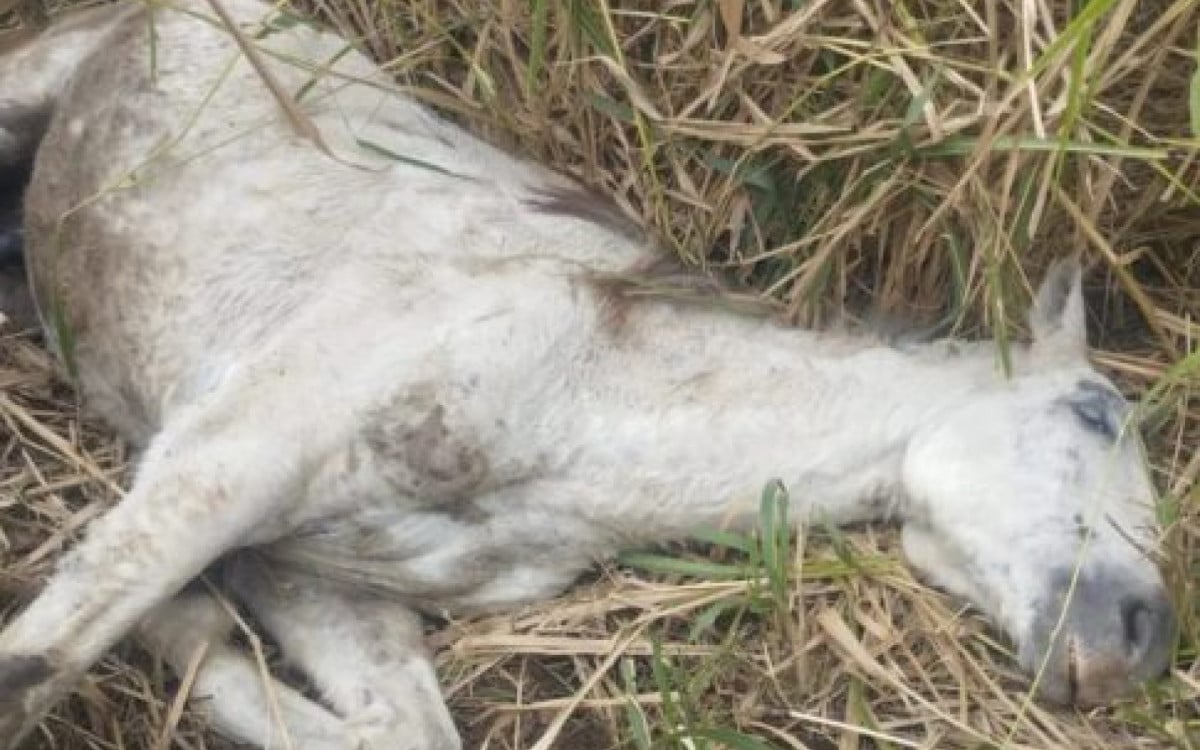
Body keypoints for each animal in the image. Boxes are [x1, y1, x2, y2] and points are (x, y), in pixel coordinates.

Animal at [0, 2, 1176, 744]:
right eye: (1096, 411)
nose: (1144, 640)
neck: (583, 412)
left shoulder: (313, 573)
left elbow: (388, 730)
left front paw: (181, 632)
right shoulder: (231, 456)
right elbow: (35, 669)